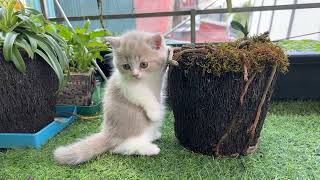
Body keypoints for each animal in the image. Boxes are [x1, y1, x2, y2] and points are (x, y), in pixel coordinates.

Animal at [54, 30, 170, 165]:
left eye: (144, 64)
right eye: (126, 66)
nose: (135, 75)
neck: (147, 80)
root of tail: (108, 136)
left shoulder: (158, 80)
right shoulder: (127, 86)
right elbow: (144, 95)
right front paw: (155, 113)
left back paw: (154, 135)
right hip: (133, 129)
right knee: (121, 148)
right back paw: (149, 149)